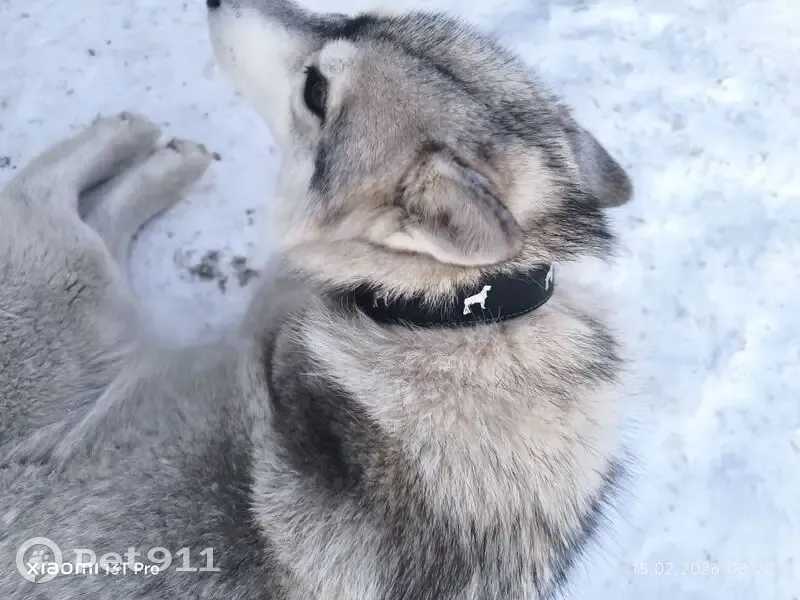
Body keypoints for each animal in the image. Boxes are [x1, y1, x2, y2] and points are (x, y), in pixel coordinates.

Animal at [0, 0, 634, 598]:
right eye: (354, 16)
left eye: (317, 91)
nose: (216, 0)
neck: (458, 313)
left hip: (82, 295)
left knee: (48, 196)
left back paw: (145, 145)